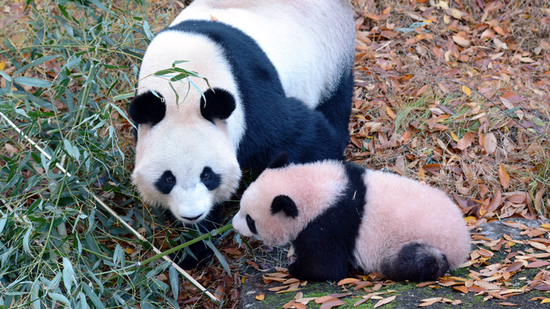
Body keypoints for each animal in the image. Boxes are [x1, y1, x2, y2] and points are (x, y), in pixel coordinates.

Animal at [128, 0, 354, 264]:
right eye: (168, 178)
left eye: (207, 174)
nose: (193, 215)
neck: (182, 88)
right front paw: (193, 247)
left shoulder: (250, 100)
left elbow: (305, 139)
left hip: (332, 56)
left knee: (335, 102)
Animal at [232, 153, 470, 280]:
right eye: (240, 208)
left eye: (250, 220)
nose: (233, 225)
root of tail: (464, 244)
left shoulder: (331, 222)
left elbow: (325, 266)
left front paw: (294, 268)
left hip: (422, 243)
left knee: (415, 260)